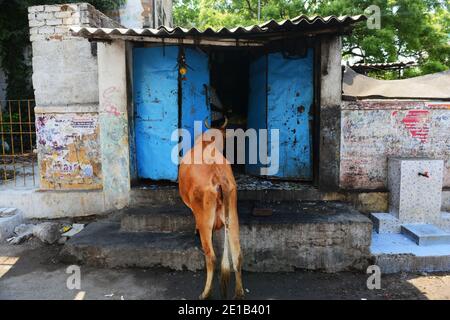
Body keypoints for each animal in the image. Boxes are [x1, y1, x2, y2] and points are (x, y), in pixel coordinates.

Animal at [178, 118, 244, 300]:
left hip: (205, 218)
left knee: (211, 257)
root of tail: (217, 175)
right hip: (233, 216)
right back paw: (239, 292)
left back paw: (205, 293)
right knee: (237, 254)